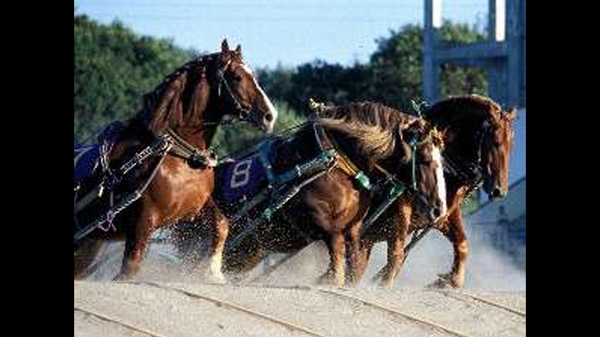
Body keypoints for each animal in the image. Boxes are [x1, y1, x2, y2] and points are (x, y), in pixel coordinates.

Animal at [74, 38, 278, 280]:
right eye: (237, 77)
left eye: (253, 75)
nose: (270, 115)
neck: (179, 155)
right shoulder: (142, 222)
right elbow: (130, 269)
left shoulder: (193, 210)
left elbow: (221, 224)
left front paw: (213, 271)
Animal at [218, 101, 448, 284]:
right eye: (426, 159)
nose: (439, 209)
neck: (337, 163)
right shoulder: (314, 218)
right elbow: (337, 248)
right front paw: (330, 279)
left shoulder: (355, 228)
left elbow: (354, 259)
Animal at [352, 94, 516, 286]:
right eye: (496, 142)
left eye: (511, 145)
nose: (500, 190)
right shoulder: (400, 210)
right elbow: (396, 255)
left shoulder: (444, 214)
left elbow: (462, 244)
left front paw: (450, 280)